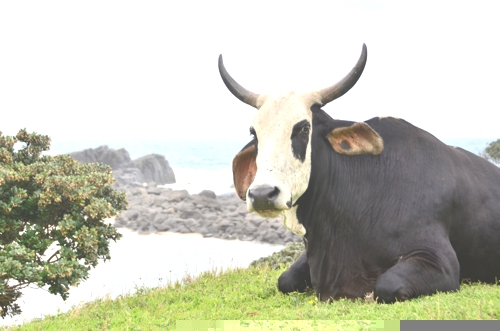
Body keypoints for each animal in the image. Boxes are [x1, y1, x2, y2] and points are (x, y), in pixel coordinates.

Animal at [218, 45, 500, 304]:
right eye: (254, 133)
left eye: (303, 128)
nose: (262, 194)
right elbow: (285, 279)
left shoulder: (440, 261)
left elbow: (386, 285)